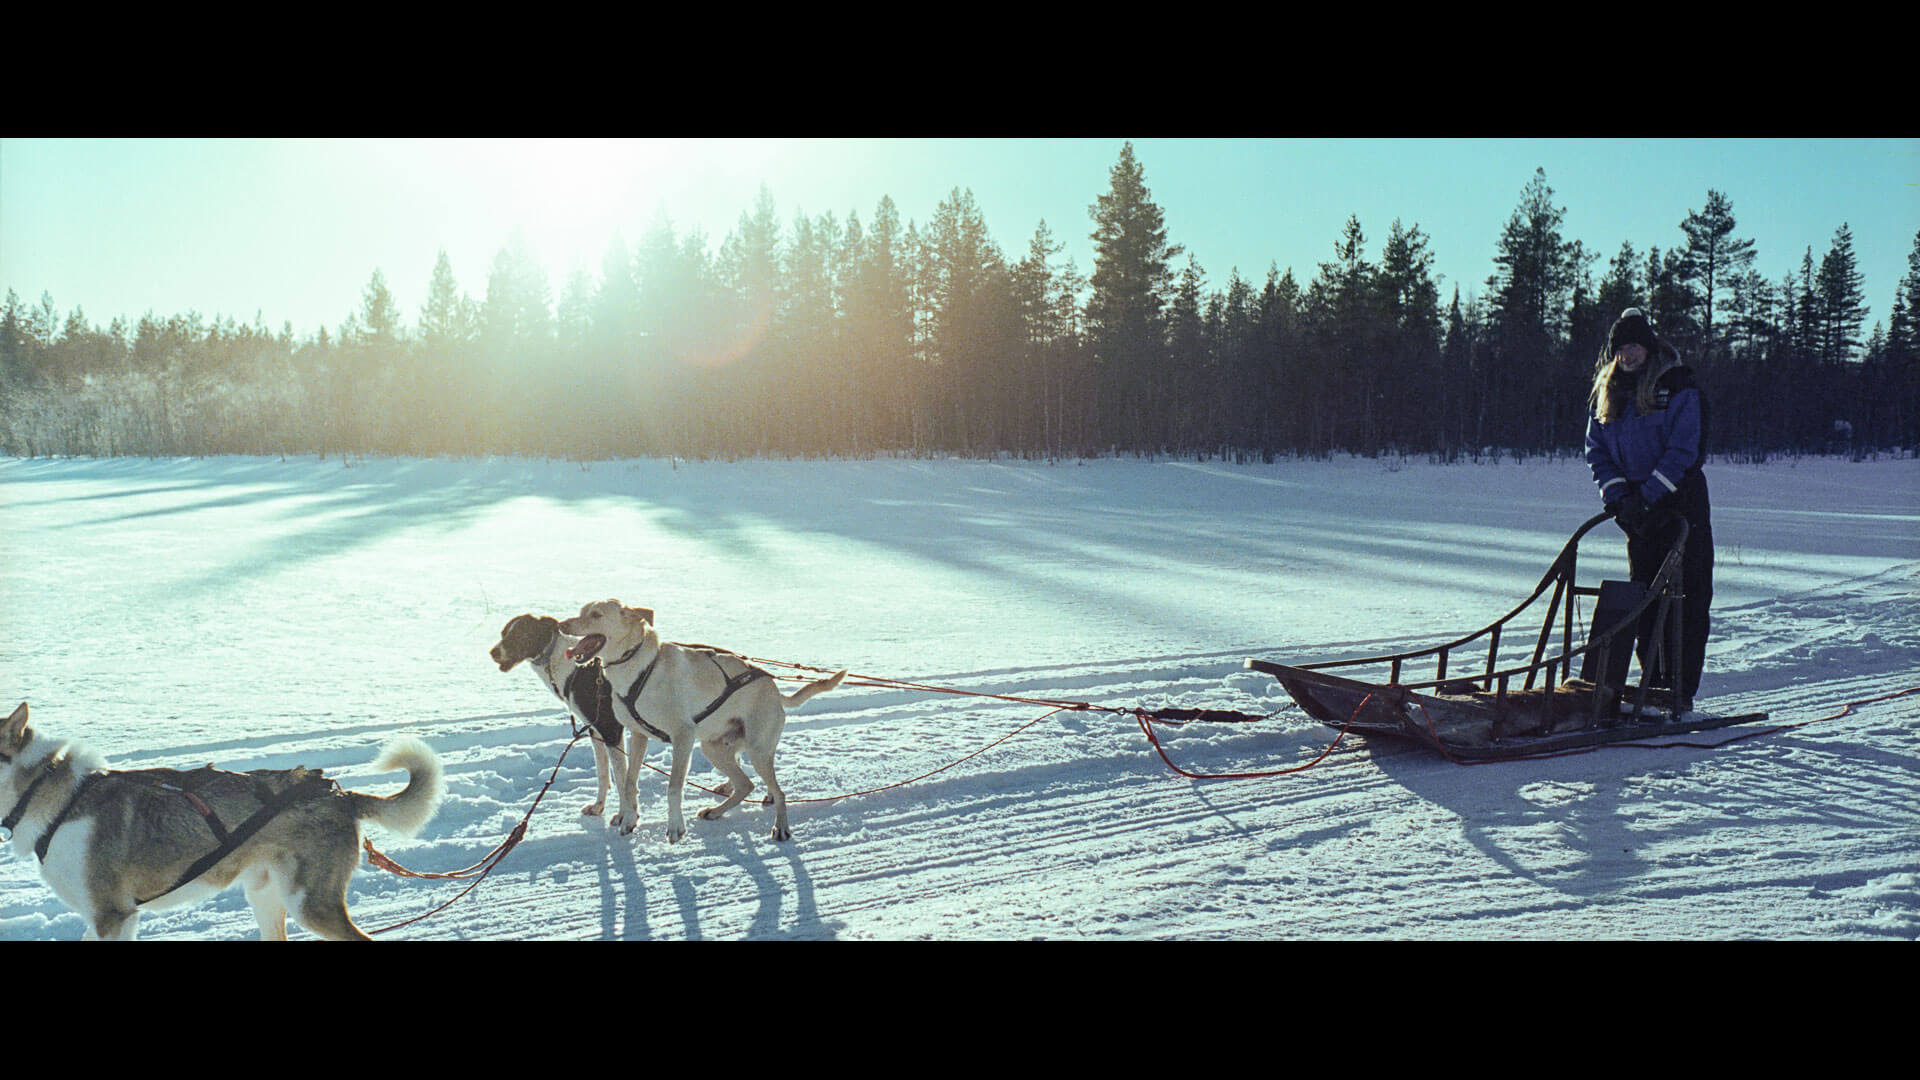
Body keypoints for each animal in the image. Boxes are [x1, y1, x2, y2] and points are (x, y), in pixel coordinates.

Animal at [1, 699, 441, 933]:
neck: (50, 796)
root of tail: (339, 794)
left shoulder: (113, 916)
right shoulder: (103, 920)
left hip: (309, 905)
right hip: (267, 898)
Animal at [560, 595, 848, 841]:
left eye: (596, 615)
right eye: (581, 611)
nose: (562, 625)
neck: (641, 670)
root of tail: (774, 688)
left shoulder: (683, 737)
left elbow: (674, 786)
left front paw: (675, 827)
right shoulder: (637, 734)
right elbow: (630, 782)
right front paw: (629, 820)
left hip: (756, 750)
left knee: (778, 792)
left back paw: (781, 827)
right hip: (713, 749)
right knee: (745, 785)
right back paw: (716, 811)